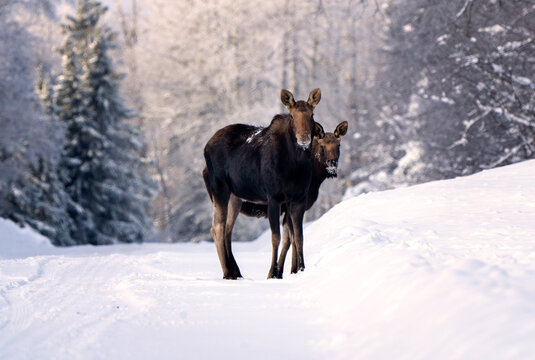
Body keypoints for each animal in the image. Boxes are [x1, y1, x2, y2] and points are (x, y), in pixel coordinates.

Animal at [203, 88, 322, 280]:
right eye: (292, 115)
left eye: (312, 114)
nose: (303, 138)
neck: (295, 166)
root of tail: (206, 147)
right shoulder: (273, 197)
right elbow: (276, 237)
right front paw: (273, 273)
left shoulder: (298, 199)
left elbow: (299, 236)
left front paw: (302, 269)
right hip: (219, 189)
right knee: (218, 227)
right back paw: (228, 272)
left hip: (235, 197)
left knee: (226, 228)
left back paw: (235, 272)